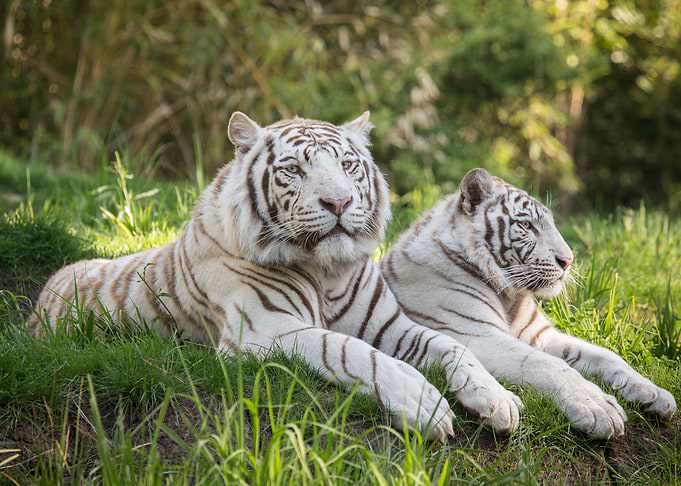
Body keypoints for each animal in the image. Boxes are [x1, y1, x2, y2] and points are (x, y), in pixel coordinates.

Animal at [30, 114, 523, 440]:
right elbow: (348, 350)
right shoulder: (265, 329)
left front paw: (498, 399)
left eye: (348, 165)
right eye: (293, 169)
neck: (327, 272)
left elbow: (453, 346)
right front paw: (426, 405)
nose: (339, 202)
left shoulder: (391, 326)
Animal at [381, 168, 677, 439]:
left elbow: (606, 355)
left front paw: (654, 393)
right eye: (527, 226)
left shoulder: (540, 335)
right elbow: (550, 365)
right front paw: (598, 408)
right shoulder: (474, 333)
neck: (510, 297)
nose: (568, 261)